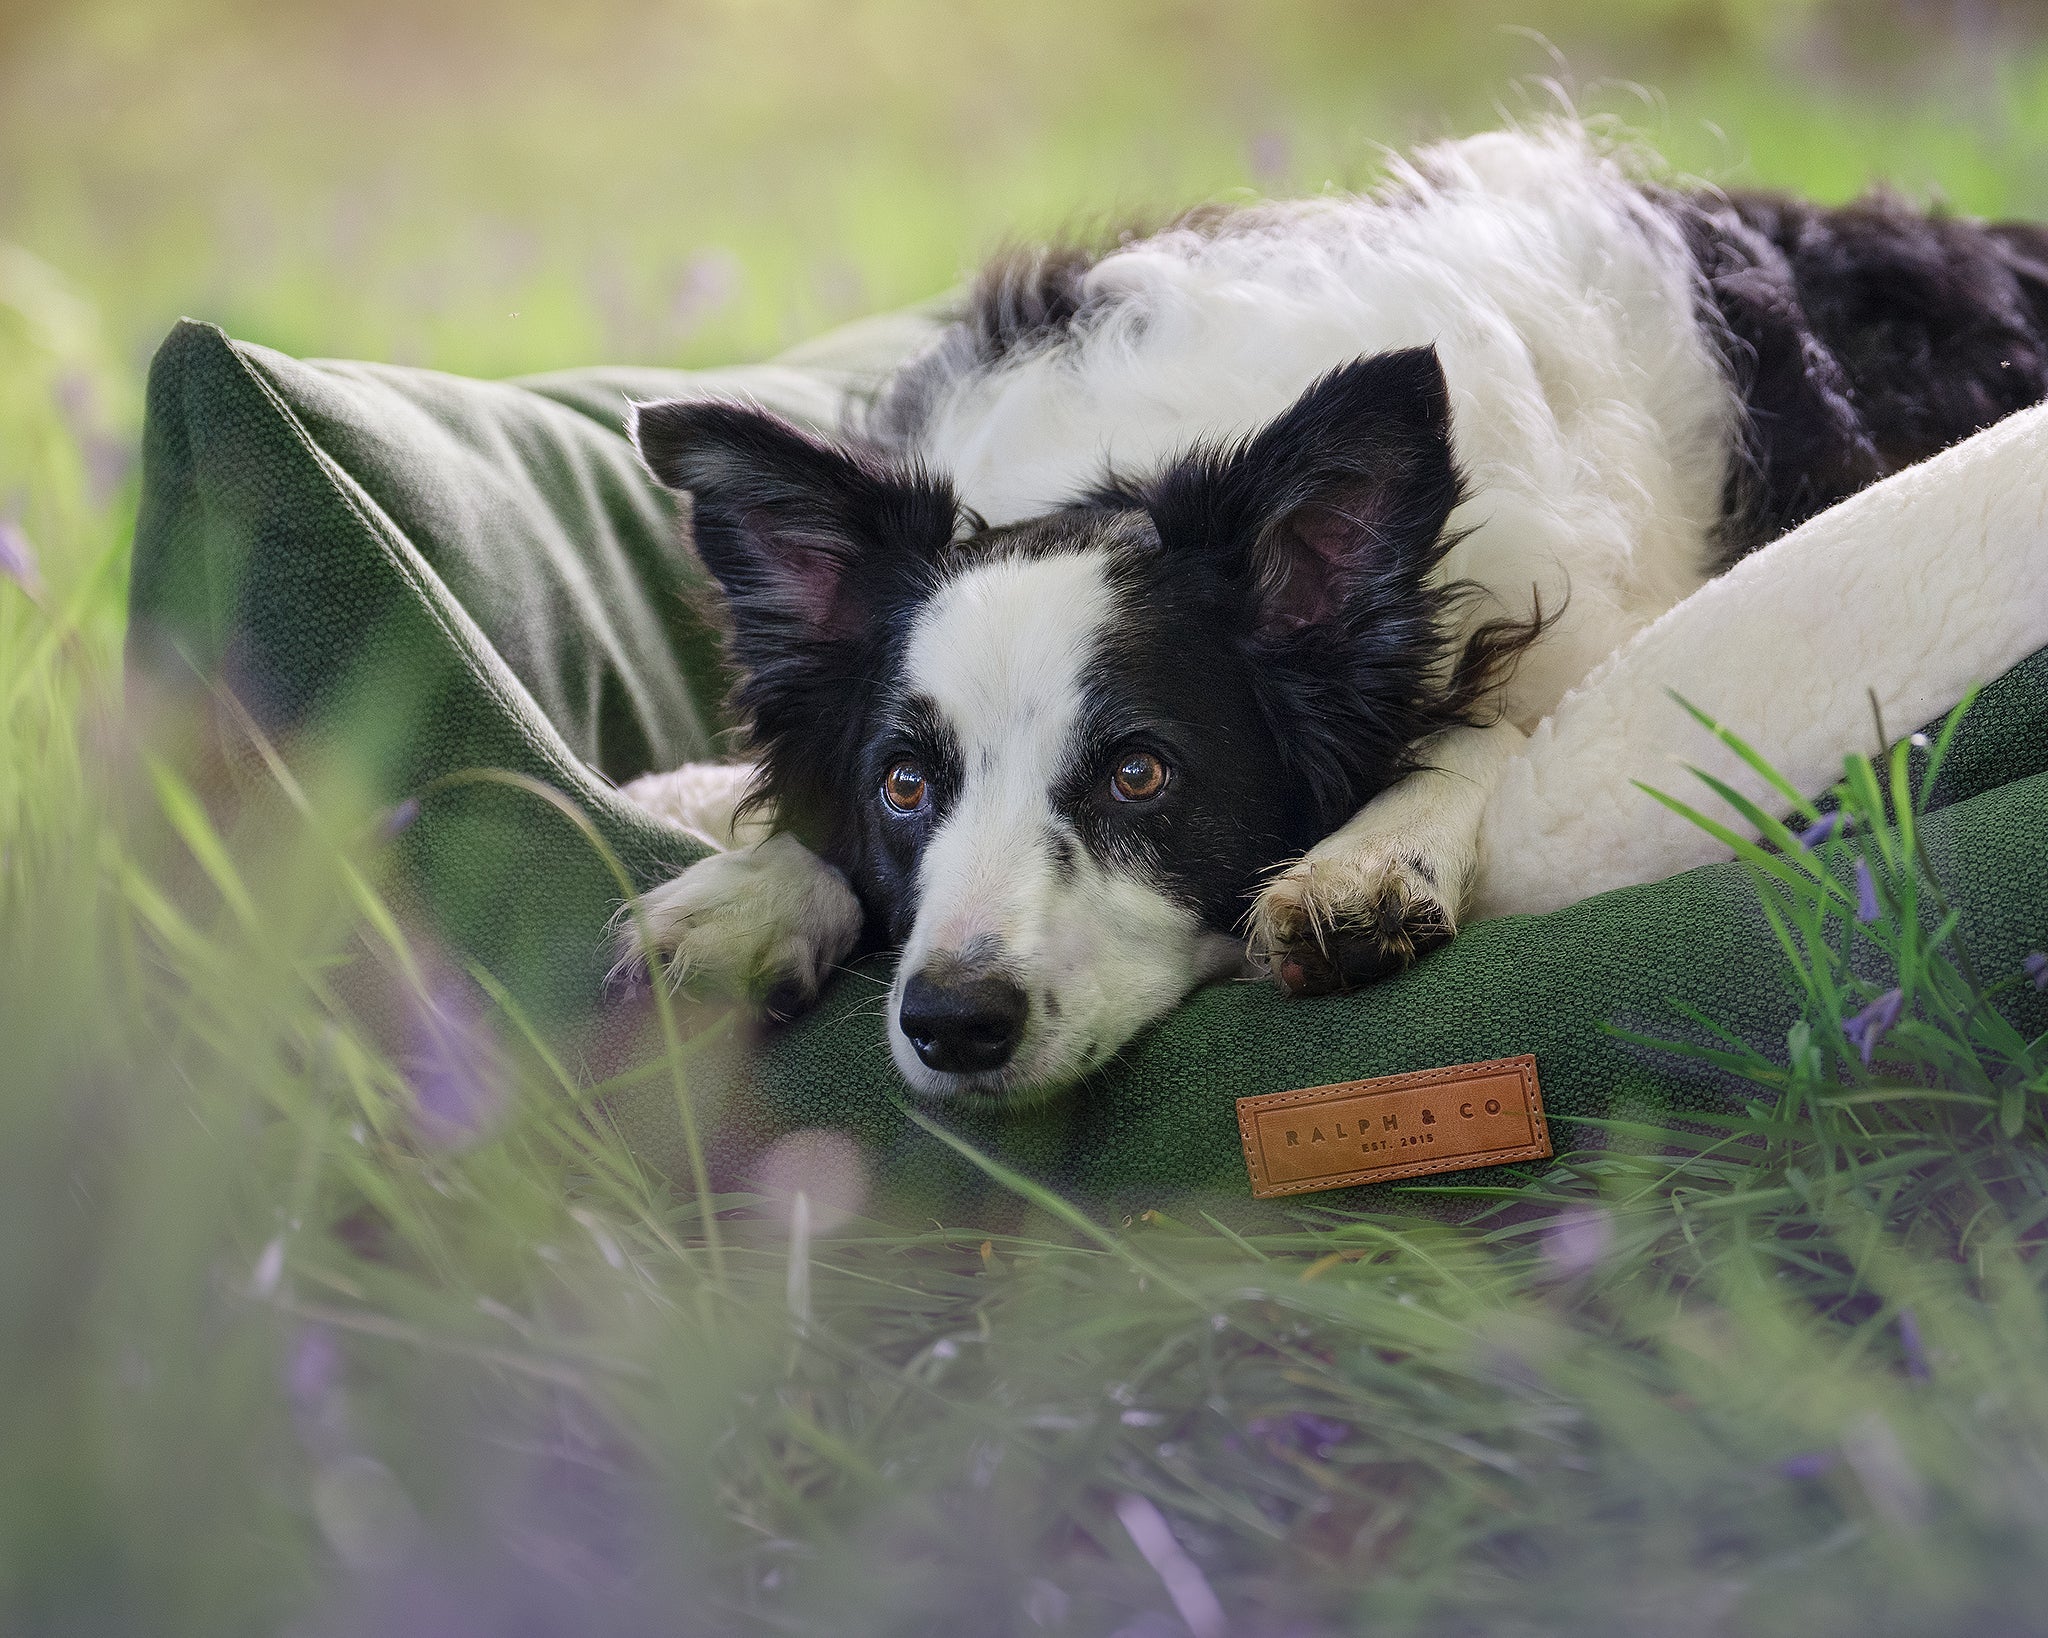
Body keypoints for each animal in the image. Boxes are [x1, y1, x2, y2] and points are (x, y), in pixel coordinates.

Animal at [614, 124, 2048, 1097]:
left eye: (1141, 774)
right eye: (904, 785)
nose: (954, 1021)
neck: (1134, 465)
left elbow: (1484, 729)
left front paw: (1368, 857)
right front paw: (742, 894)